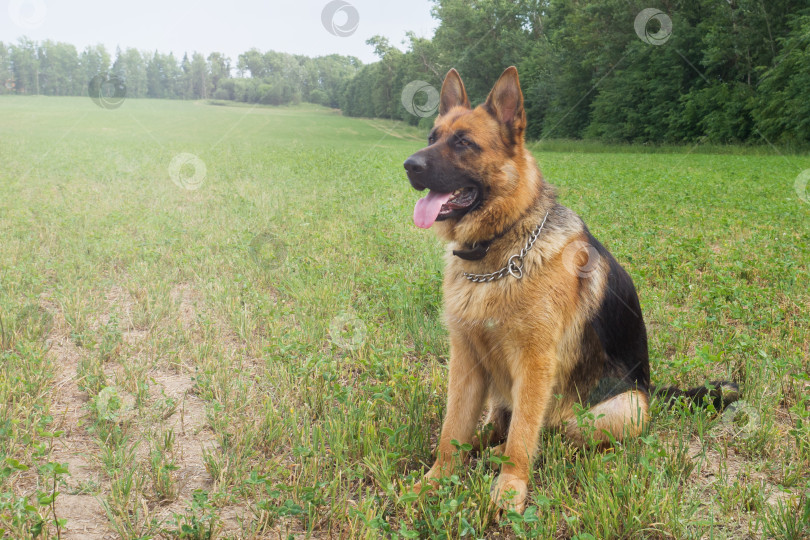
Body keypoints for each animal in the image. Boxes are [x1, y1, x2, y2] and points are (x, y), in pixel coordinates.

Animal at [400, 65, 736, 512]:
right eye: (431, 138)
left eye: (464, 143)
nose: (408, 166)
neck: (501, 247)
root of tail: (650, 390)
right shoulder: (466, 360)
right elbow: (452, 431)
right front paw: (434, 482)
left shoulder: (535, 363)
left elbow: (523, 435)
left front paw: (510, 488)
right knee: (498, 423)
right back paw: (484, 445)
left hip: (618, 410)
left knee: (557, 435)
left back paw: (506, 453)